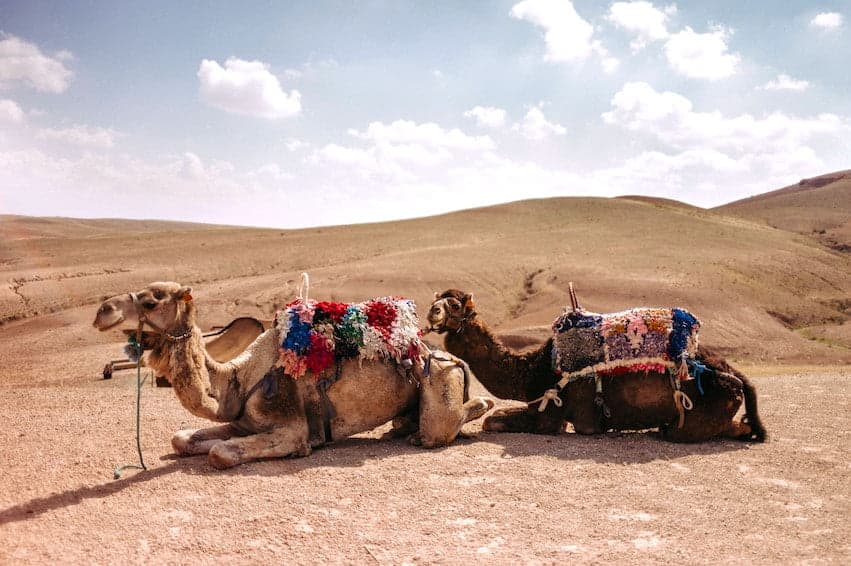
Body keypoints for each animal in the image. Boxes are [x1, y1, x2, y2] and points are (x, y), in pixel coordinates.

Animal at [92, 282, 493, 468]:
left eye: (151, 301)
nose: (102, 310)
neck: (238, 378)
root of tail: (447, 356)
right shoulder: (244, 422)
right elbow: (181, 439)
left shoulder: (289, 423)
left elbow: (221, 453)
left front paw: (307, 447)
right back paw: (402, 428)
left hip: (439, 377)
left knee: (442, 425)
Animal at [426, 289, 766, 443]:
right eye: (437, 301)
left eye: (453, 305)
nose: (432, 312)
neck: (535, 371)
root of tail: (737, 376)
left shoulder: (551, 416)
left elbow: (492, 421)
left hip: (694, 418)